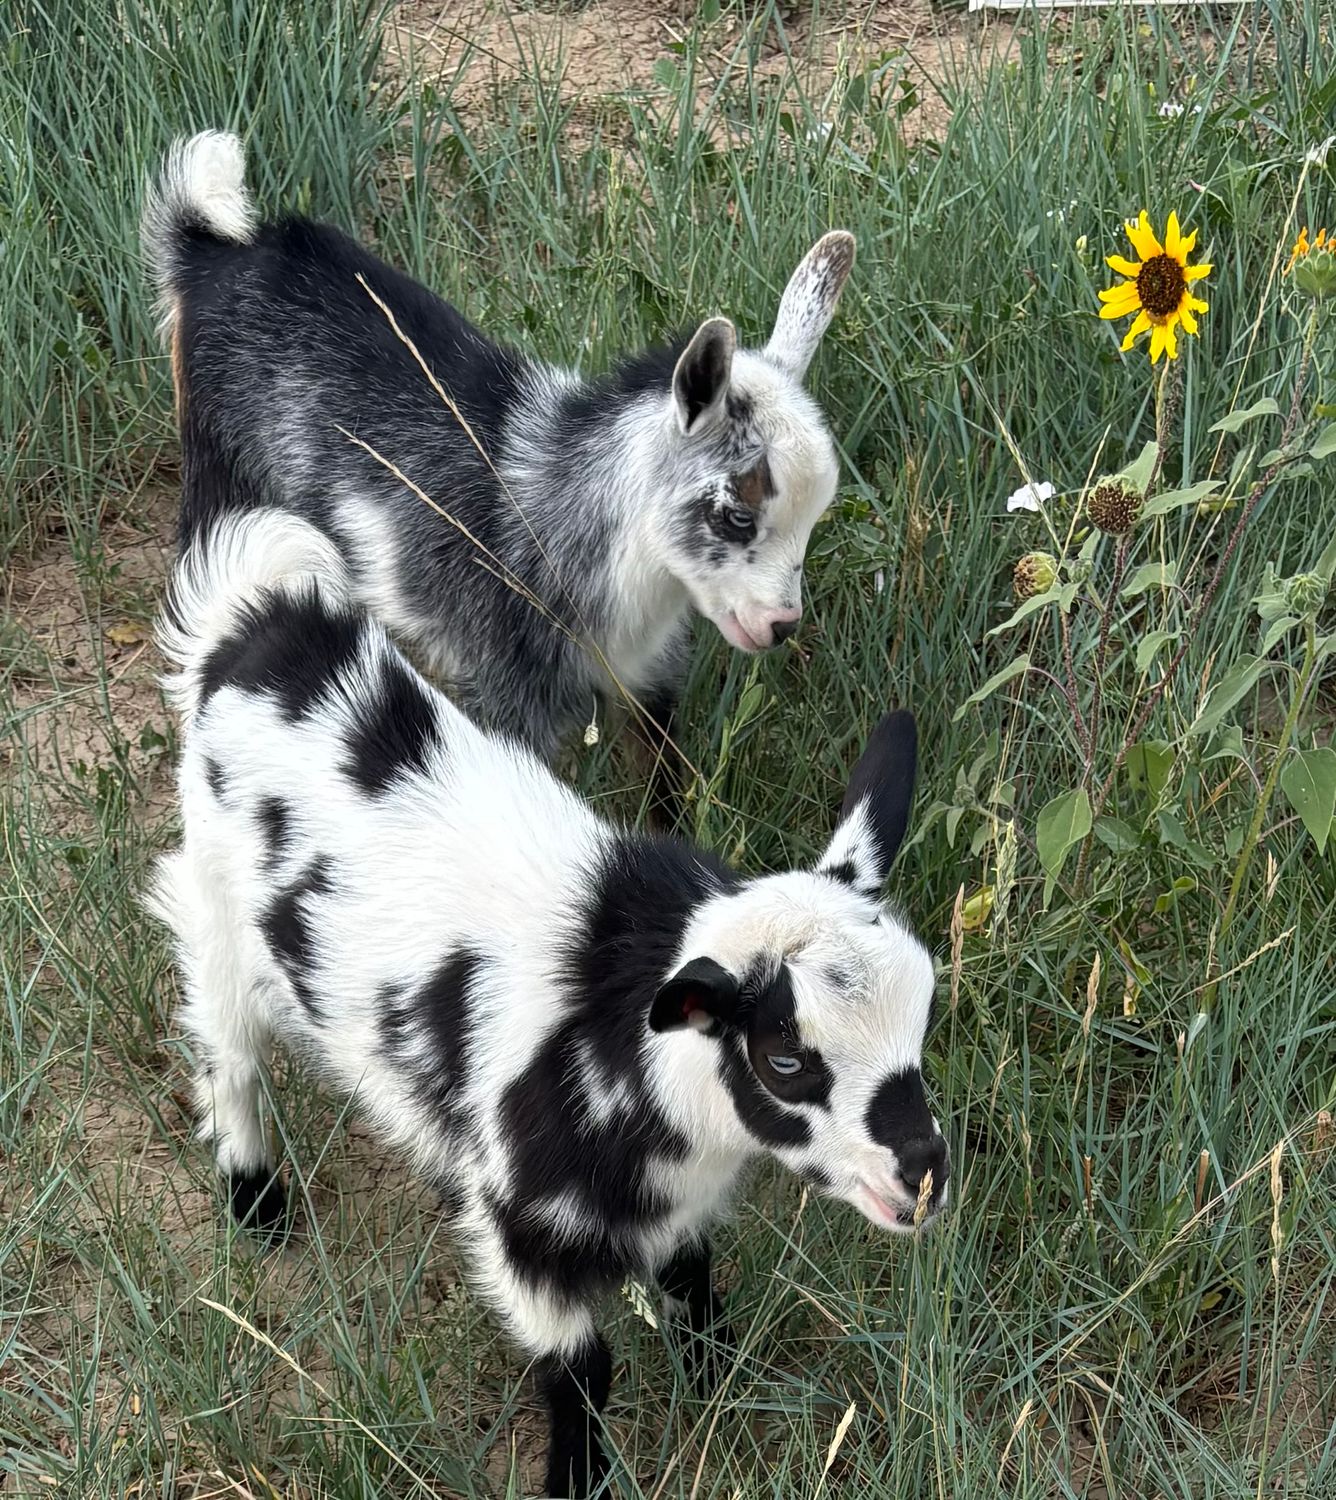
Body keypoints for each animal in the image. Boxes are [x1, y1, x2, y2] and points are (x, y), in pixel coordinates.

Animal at [142, 131, 855, 779]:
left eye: (814, 518)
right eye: (737, 515)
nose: (781, 626)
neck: (559, 509)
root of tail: (214, 246)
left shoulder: (653, 684)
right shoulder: (511, 697)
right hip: (219, 467)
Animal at [147, 509, 949, 1498]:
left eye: (923, 1014)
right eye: (786, 1059)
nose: (923, 1176)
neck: (630, 1059)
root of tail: (263, 616)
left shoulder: (672, 1208)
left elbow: (694, 1281)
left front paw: (721, 1382)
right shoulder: (521, 1231)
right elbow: (580, 1371)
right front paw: (578, 1478)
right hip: (213, 915)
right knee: (228, 1054)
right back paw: (256, 1200)